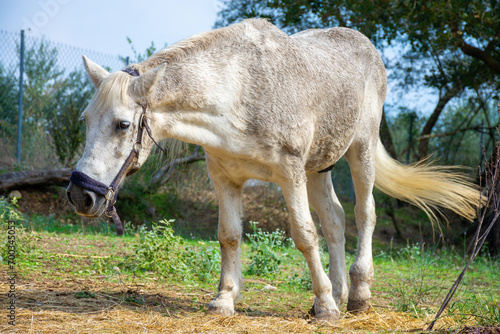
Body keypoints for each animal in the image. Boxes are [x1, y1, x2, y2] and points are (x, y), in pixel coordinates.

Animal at [66, 19, 480, 322]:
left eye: (122, 124)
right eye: (85, 120)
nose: (80, 195)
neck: (240, 91)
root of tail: (367, 45)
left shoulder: (290, 174)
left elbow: (305, 235)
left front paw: (326, 308)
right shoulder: (225, 178)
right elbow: (229, 235)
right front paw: (224, 299)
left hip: (359, 150)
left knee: (365, 214)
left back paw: (357, 295)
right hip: (320, 168)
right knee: (335, 219)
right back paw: (338, 290)